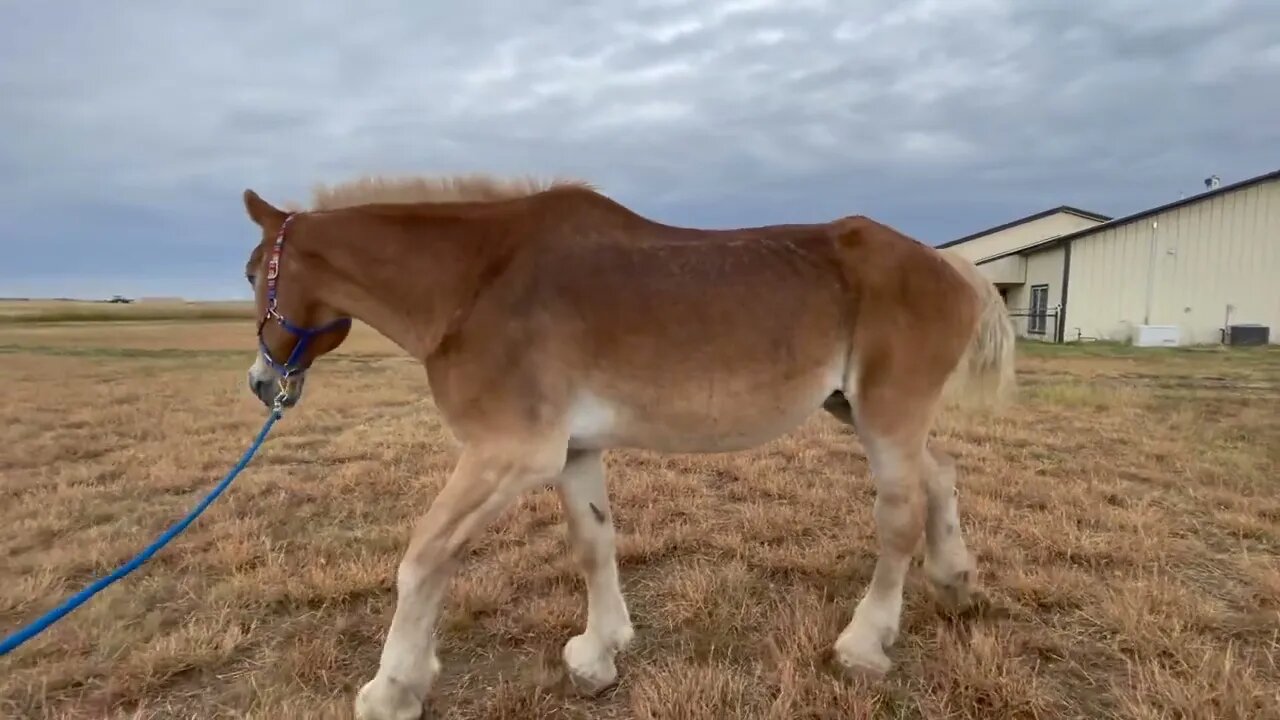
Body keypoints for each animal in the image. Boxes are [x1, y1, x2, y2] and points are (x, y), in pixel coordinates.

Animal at [240, 172, 1013, 717]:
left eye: (252, 273)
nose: (261, 382)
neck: (477, 282)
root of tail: (953, 266)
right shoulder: (573, 452)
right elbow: (594, 543)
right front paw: (599, 653)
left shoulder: (508, 454)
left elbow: (424, 557)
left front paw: (394, 687)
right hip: (857, 411)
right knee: (940, 474)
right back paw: (955, 582)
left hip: (886, 418)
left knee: (898, 519)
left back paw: (864, 644)